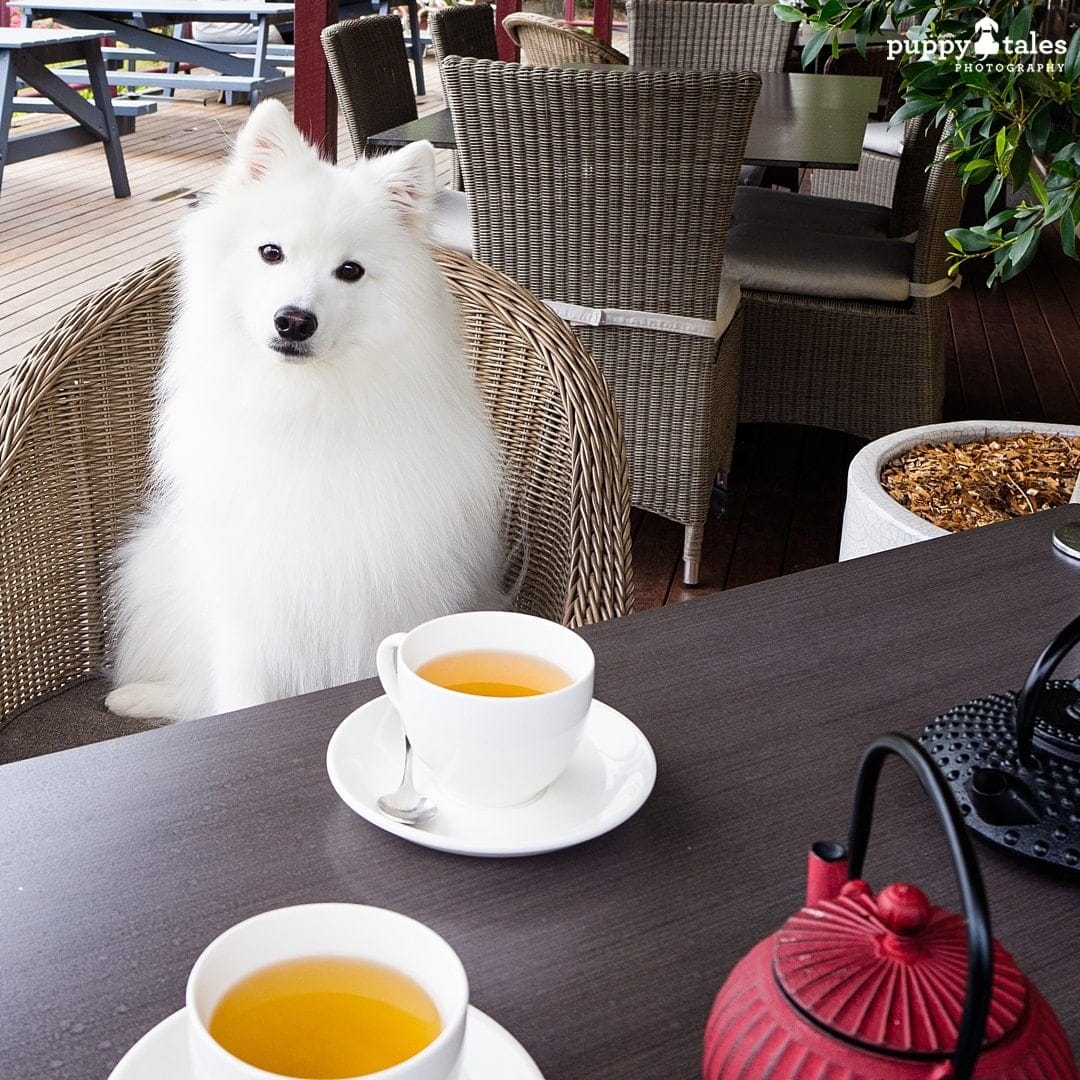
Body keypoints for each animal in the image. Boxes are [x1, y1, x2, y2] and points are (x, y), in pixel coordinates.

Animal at [105, 101, 501, 721]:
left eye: (350, 270)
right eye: (272, 253)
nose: (294, 321)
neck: (304, 409)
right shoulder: (246, 609)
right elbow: (239, 695)